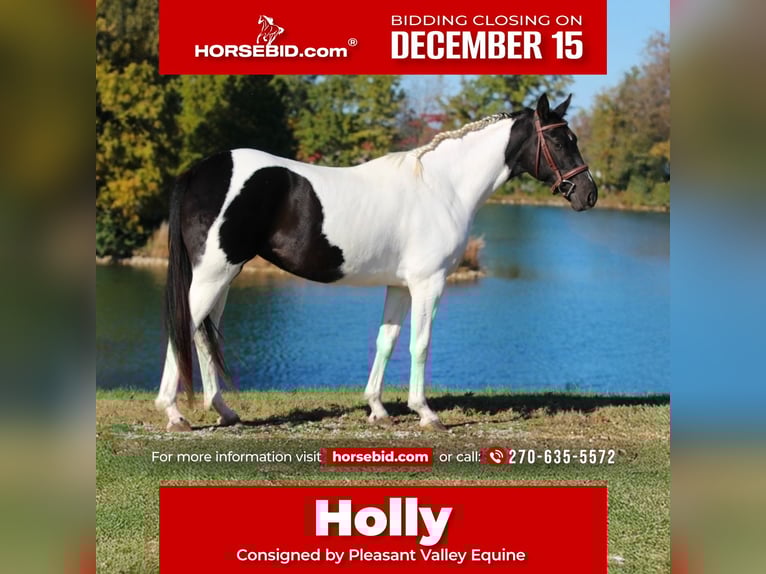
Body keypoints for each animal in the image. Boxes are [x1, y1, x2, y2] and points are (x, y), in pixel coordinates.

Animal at [154, 93, 597, 432]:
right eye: (560, 142)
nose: (588, 194)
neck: (443, 187)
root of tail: (199, 171)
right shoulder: (428, 284)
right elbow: (420, 343)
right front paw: (426, 413)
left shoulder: (400, 285)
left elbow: (387, 341)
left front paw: (378, 409)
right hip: (214, 273)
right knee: (183, 326)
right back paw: (174, 414)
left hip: (223, 276)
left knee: (203, 334)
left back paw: (224, 410)